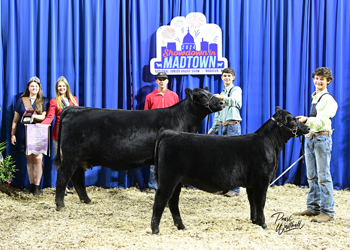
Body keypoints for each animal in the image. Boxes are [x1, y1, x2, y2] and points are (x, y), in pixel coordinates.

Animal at [54, 87, 224, 210]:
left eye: (210, 93)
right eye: (202, 95)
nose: (222, 103)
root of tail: (74, 109)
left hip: (80, 158)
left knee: (77, 178)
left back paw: (87, 200)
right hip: (71, 156)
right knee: (63, 176)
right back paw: (60, 205)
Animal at [150, 106, 308, 233]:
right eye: (293, 119)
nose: (308, 128)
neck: (270, 144)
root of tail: (169, 133)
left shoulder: (252, 184)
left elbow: (253, 203)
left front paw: (255, 221)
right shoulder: (262, 182)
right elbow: (261, 203)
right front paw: (263, 224)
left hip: (177, 181)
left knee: (172, 202)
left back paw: (181, 227)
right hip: (169, 178)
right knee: (160, 200)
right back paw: (155, 229)